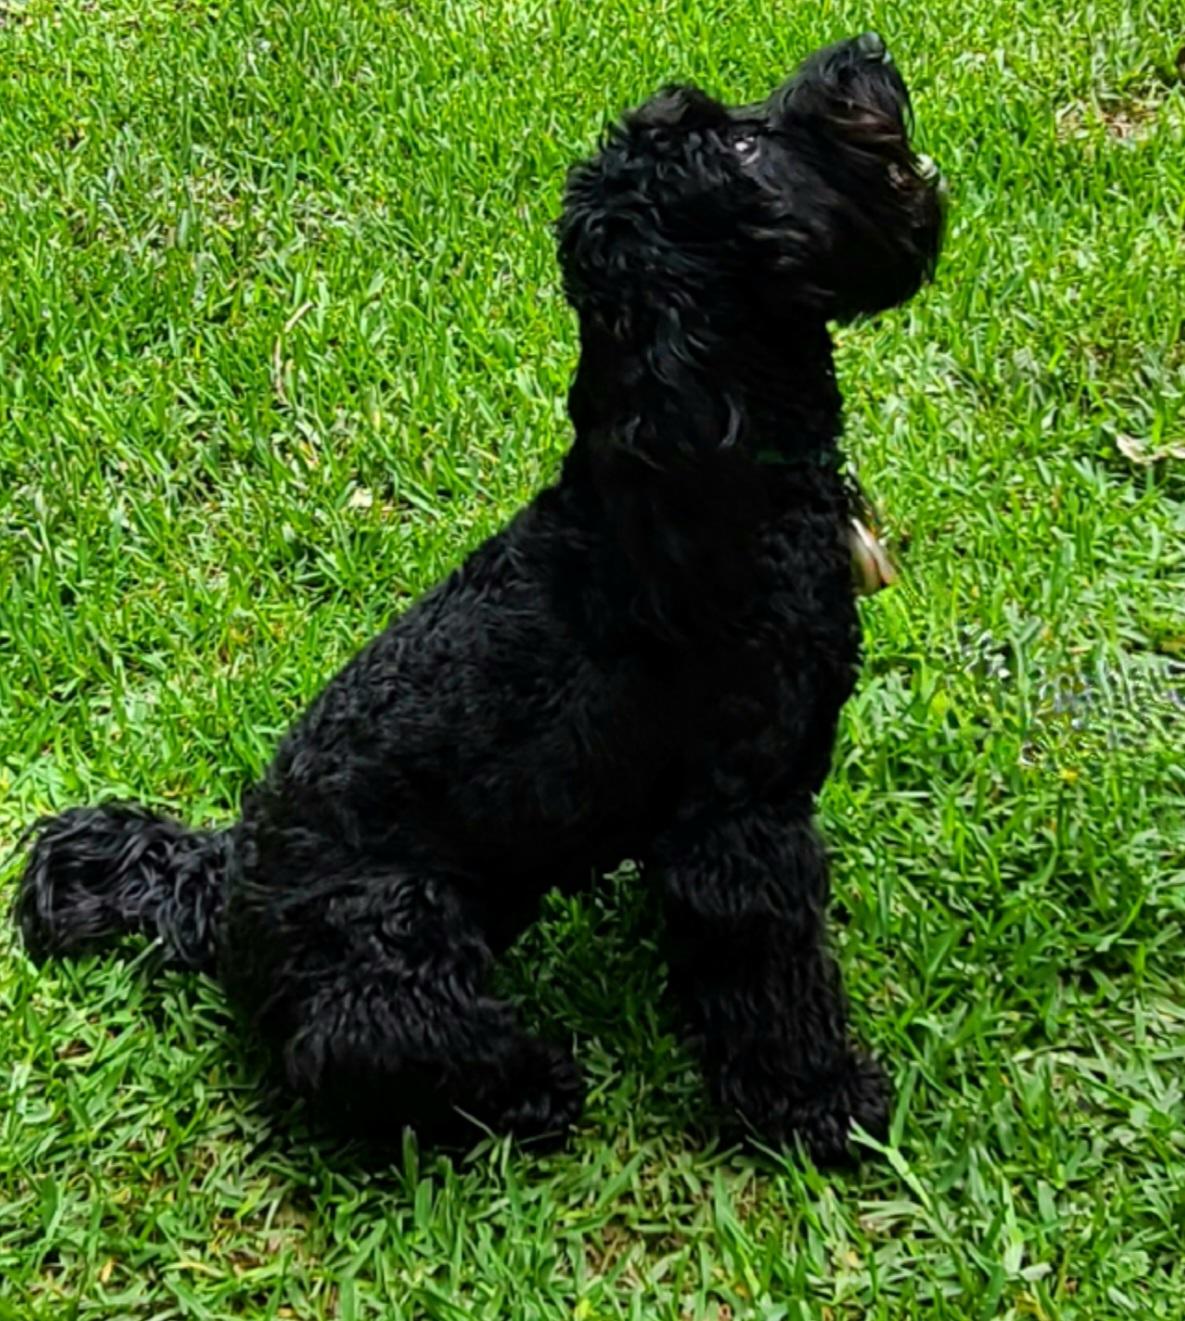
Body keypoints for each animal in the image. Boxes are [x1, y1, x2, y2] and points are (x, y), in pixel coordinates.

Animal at [15, 34, 943, 1163]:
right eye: (739, 144)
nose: (865, 49)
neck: (704, 474)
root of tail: (225, 880)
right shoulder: (740, 829)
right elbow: (771, 984)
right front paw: (821, 1107)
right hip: (395, 947)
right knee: (379, 1052)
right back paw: (531, 1089)